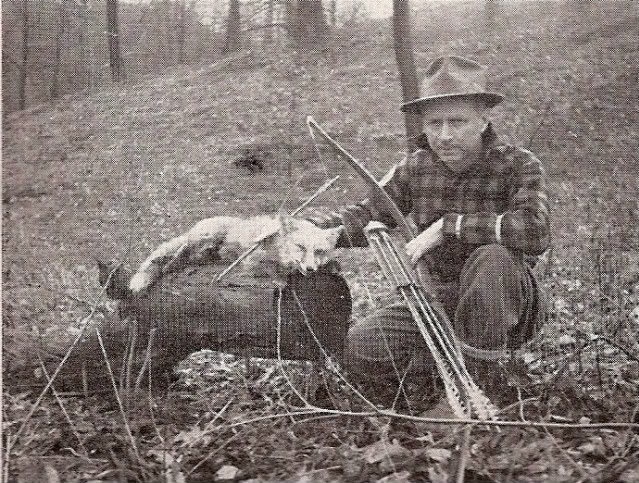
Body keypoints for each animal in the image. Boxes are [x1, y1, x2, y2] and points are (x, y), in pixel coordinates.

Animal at [127, 215, 342, 292]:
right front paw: (279, 280)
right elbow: (270, 269)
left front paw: (332, 266)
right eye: (301, 247)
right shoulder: (252, 258)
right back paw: (171, 264)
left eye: (319, 251)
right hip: (206, 237)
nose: (310, 269)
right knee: (180, 251)